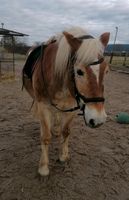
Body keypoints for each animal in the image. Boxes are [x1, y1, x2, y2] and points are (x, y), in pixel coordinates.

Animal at [22, 27, 110, 177]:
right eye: (79, 72)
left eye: (106, 71)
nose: (98, 120)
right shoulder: (43, 106)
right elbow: (45, 136)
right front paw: (43, 168)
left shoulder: (72, 106)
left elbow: (66, 131)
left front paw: (63, 156)